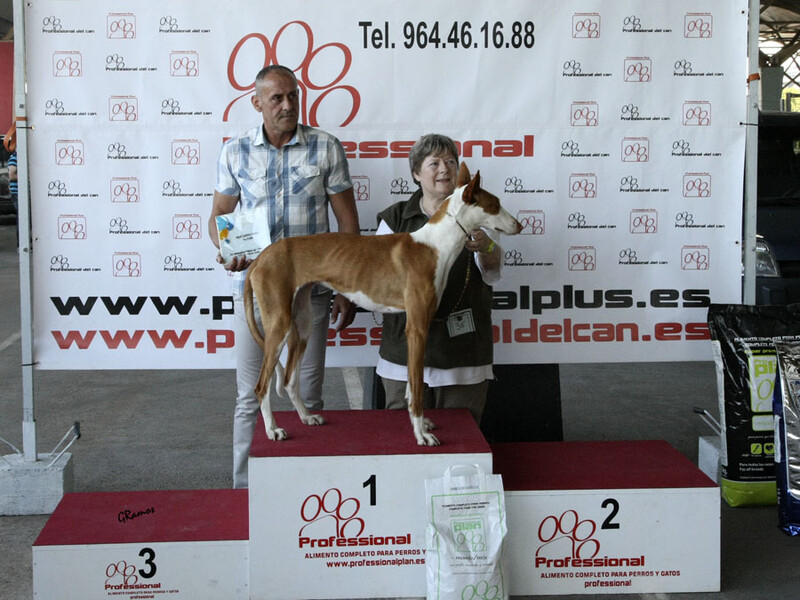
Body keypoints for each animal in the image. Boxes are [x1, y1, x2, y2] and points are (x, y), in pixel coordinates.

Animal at [244, 163, 522, 445]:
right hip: (279, 324)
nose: (520, 225)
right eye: (495, 204)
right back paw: (272, 429)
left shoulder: (418, 327)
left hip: (302, 323)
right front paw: (421, 434)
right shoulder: (417, 328)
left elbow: (411, 385)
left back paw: (306, 417)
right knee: (261, 385)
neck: (435, 245)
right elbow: (417, 387)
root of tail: (261, 257)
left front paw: (421, 423)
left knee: (290, 379)